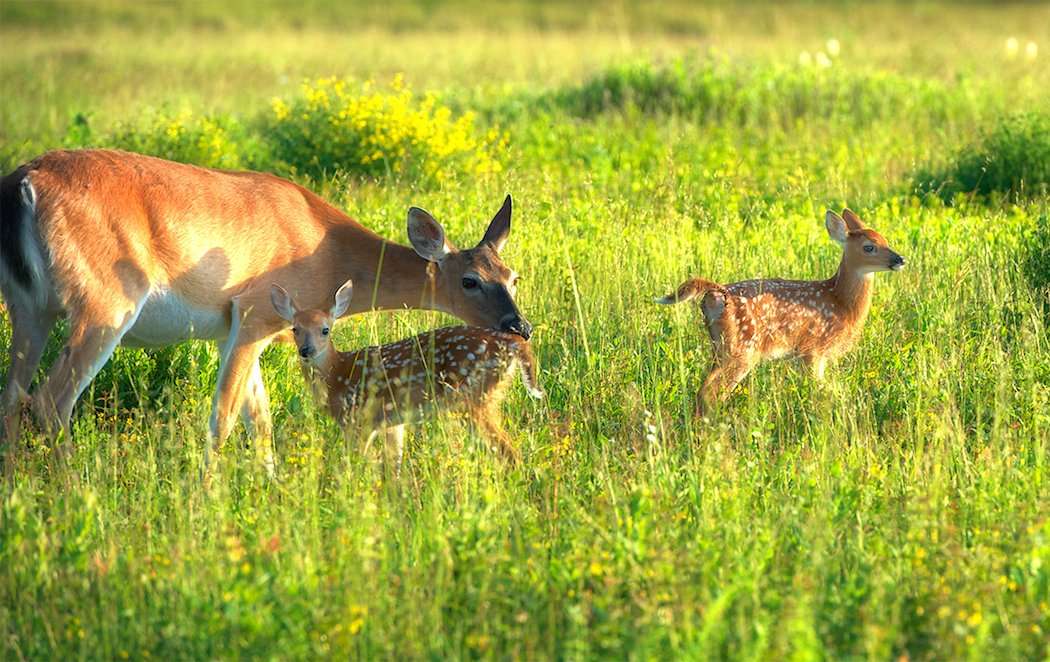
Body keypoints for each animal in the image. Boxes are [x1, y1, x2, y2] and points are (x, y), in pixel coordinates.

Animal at [270, 279, 541, 472]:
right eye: (295, 329)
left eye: (325, 330)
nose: (306, 350)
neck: (337, 372)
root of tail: (513, 343)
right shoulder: (391, 422)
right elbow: (393, 464)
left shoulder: (358, 420)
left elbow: (358, 463)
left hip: (474, 397)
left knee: (510, 452)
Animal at [655, 209, 902, 416]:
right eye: (869, 247)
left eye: (886, 240)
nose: (900, 259)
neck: (840, 302)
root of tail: (716, 293)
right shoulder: (813, 349)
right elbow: (824, 391)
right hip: (742, 349)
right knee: (710, 393)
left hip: (720, 347)